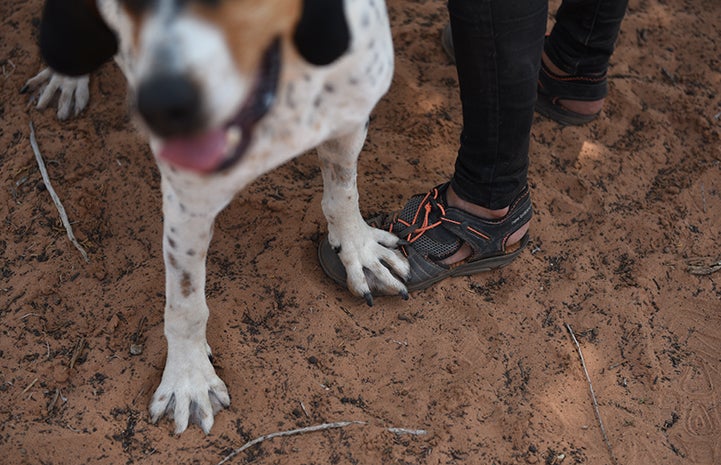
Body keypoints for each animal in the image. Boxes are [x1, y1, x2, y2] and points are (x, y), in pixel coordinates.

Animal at [25, 0, 408, 436]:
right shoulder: (187, 201)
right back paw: (66, 75)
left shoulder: (349, 115)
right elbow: (186, 306)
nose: (162, 105)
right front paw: (188, 380)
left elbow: (343, 192)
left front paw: (358, 251)